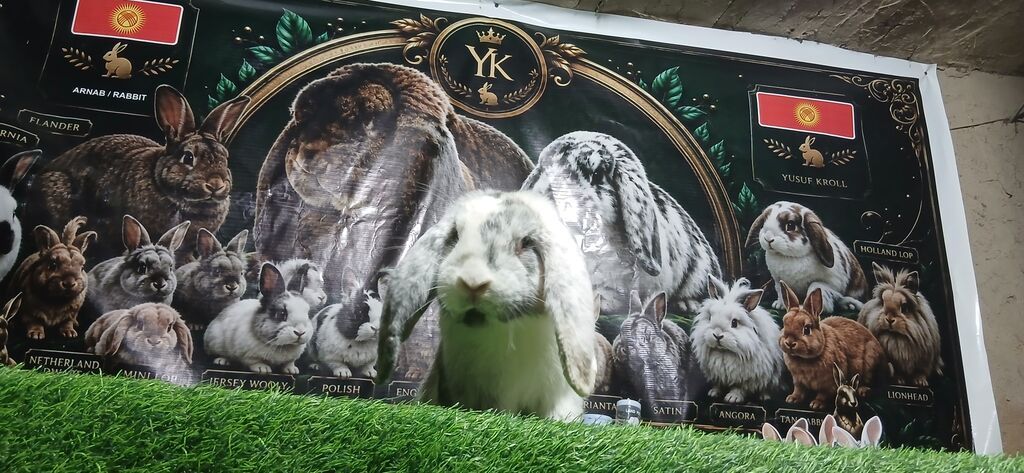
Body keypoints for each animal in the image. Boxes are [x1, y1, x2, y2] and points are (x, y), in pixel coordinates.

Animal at [778, 281, 885, 410]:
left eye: (807, 329)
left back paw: (863, 391)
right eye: (784, 324)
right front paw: (792, 399)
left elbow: (824, 393)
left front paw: (817, 404)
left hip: (869, 363)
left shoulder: (829, 381)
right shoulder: (798, 380)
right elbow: (799, 390)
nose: (789, 343)